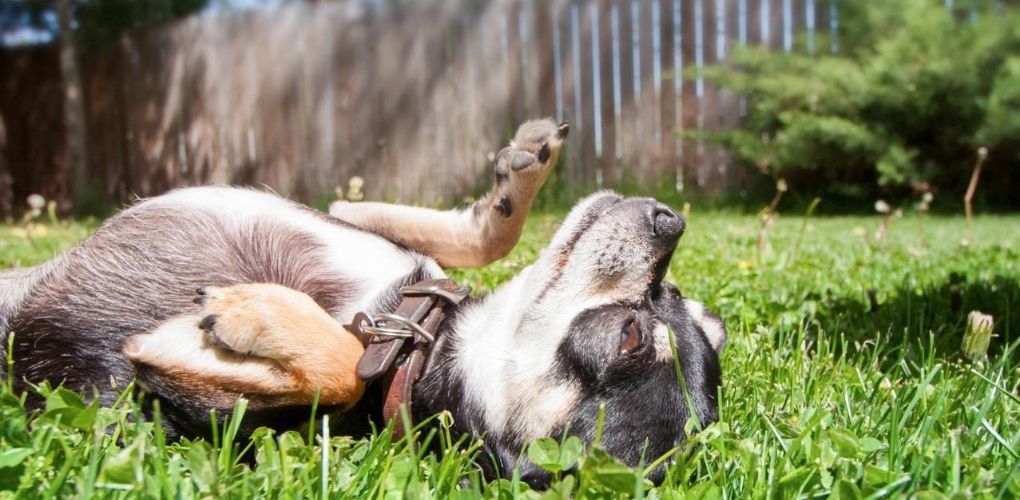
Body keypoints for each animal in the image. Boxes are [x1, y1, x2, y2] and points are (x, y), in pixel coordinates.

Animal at [3, 119, 730, 483]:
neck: (413, 326)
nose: (671, 222)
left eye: (627, 338)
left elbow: (340, 377)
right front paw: (514, 184)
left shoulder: (122, 417)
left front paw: (255, 316)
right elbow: (480, 238)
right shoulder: (361, 220)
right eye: (676, 297)